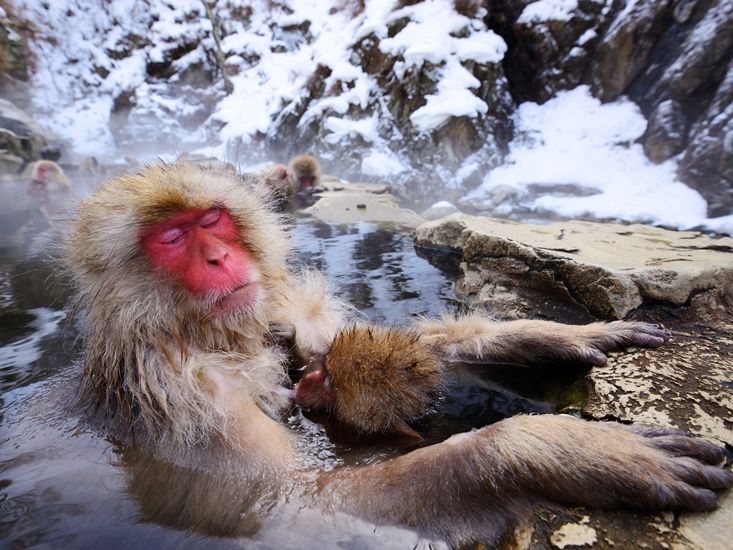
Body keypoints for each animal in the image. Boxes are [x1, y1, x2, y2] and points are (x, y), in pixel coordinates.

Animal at [62, 160, 732, 547]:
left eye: (214, 220)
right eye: (173, 238)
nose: (219, 258)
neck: (209, 334)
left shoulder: (281, 311)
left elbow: (361, 345)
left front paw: (558, 335)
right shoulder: (187, 395)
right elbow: (301, 502)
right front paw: (561, 449)